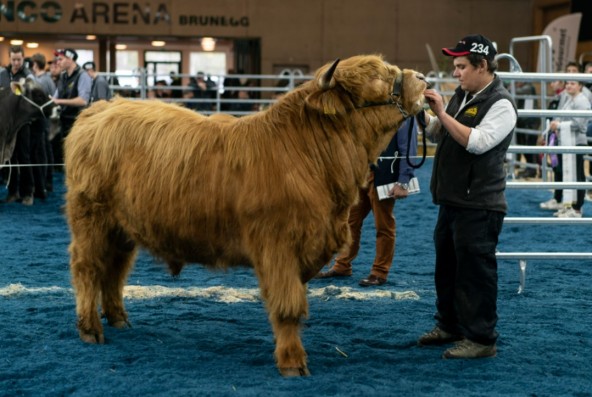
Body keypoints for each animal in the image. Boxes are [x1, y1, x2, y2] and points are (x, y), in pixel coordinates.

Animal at [63, 55, 426, 374]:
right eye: (375, 77)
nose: (422, 79)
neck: (310, 155)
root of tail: (103, 107)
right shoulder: (277, 247)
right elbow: (287, 305)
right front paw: (292, 362)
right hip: (91, 219)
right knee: (88, 268)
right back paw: (90, 329)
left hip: (121, 227)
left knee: (115, 269)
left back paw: (118, 318)